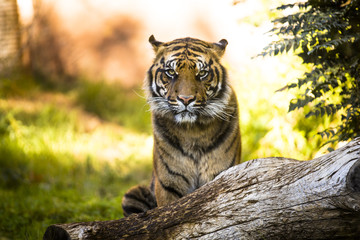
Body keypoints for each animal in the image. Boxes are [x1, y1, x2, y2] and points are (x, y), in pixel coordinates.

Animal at [121, 34, 242, 217]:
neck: (193, 131)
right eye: (171, 72)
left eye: (202, 73)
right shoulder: (168, 186)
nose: (186, 99)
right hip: (132, 194)